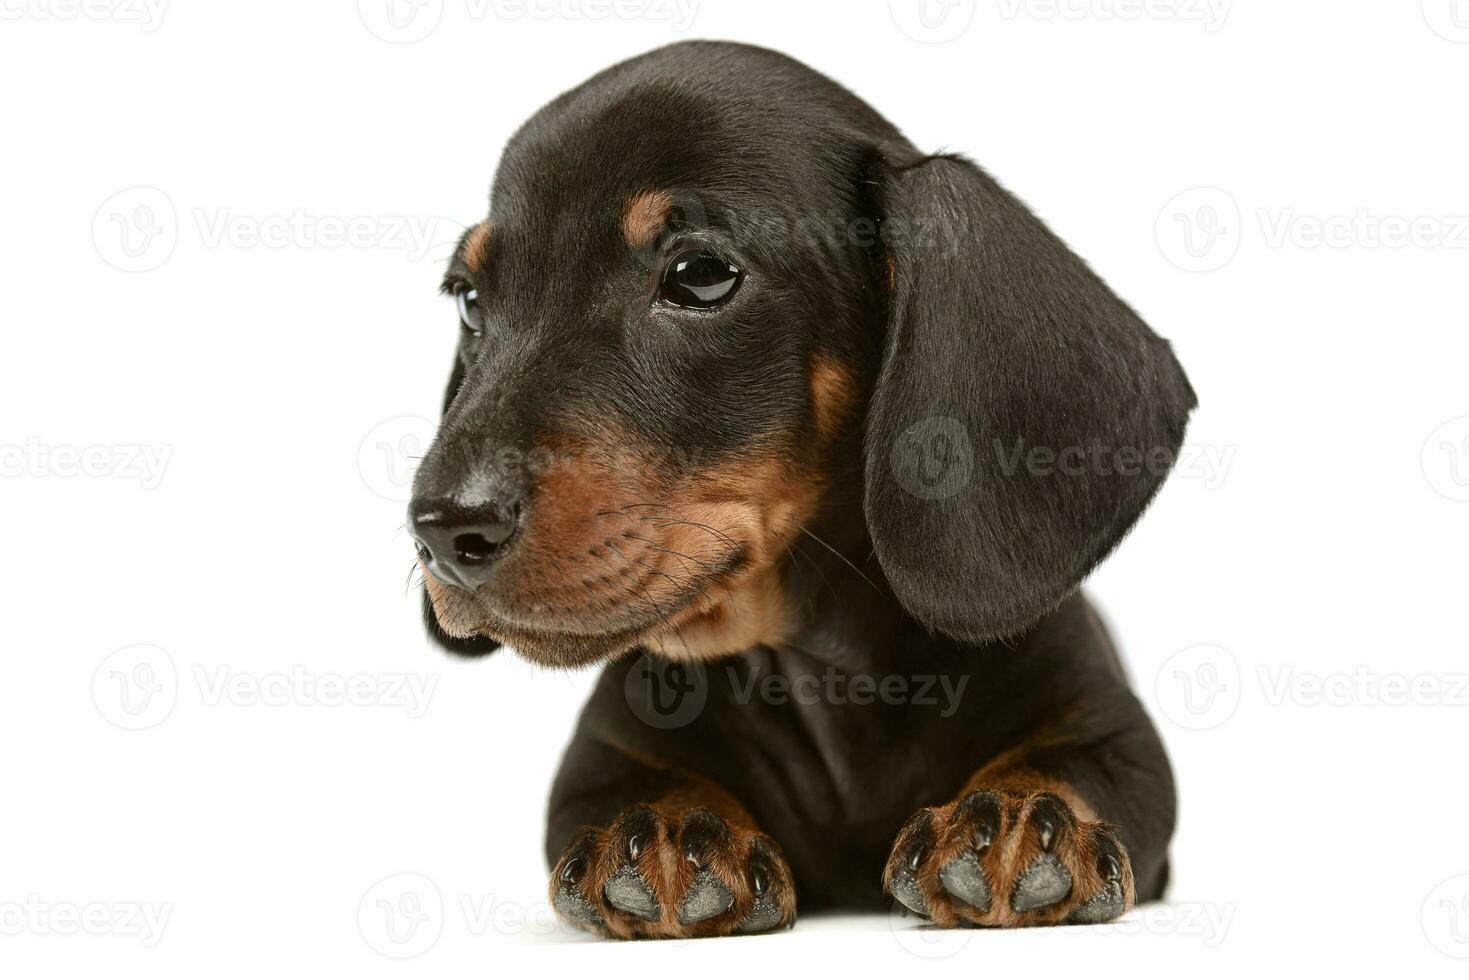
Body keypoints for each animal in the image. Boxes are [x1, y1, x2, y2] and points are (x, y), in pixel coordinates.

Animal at [411, 42, 1192, 940]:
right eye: (471, 299)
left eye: (699, 276)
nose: (442, 531)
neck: (825, 665)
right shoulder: (601, 756)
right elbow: (630, 784)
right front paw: (668, 830)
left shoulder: (1112, 729)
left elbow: (1077, 763)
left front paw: (1017, 816)